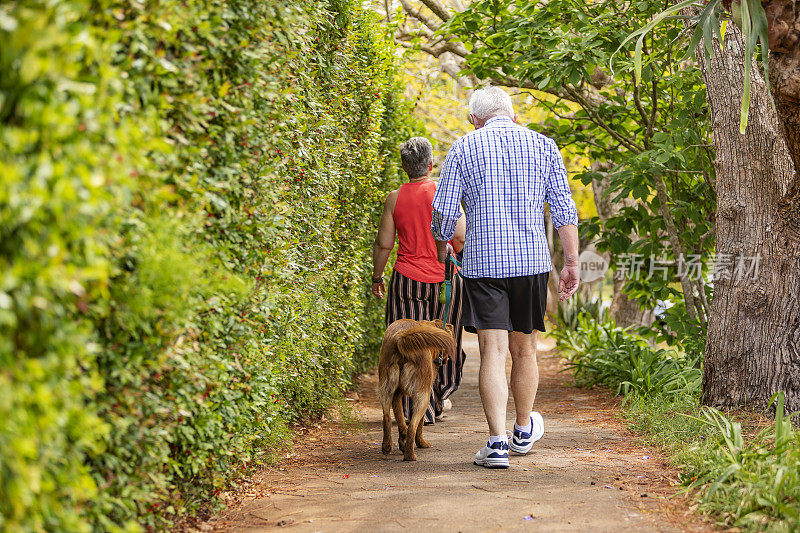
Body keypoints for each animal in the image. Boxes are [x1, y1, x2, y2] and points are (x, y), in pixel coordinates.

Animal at [376, 318, 454, 460]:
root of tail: (400, 336)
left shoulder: (397, 394)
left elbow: (401, 421)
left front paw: (402, 442)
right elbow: (421, 423)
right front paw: (420, 443)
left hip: (386, 387)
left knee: (387, 417)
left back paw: (387, 447)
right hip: (423, 396)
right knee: (413, 424)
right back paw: (410, 455)